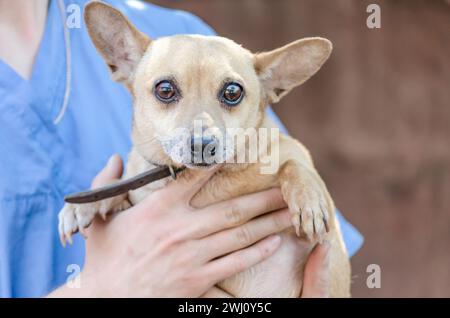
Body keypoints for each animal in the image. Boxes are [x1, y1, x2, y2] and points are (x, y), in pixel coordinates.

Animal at [58, 1, 350, 296]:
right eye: (165, 89)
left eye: (233, 92)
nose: (202, 144)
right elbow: (120, 185)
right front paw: (81, 207)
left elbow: (293, 164)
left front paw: (309, 200)